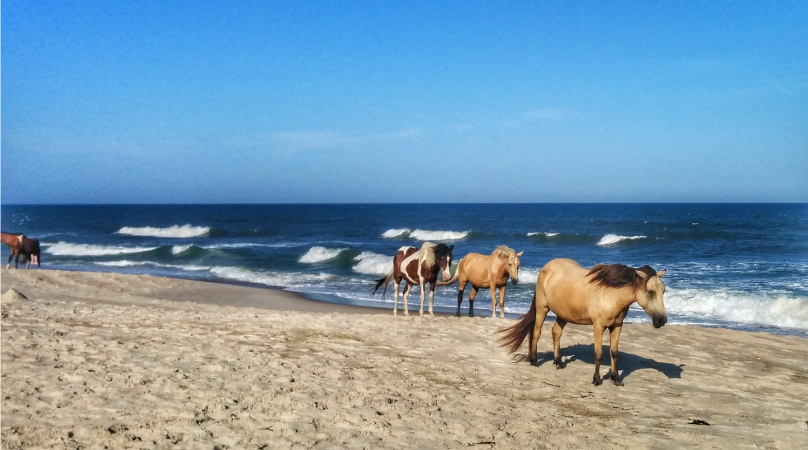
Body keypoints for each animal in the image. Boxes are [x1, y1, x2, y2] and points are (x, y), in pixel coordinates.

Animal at [498, 258, 668, 384]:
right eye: (651, 291)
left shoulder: (617, 326)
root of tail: (546, 268)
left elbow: (614, 353)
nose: (661, 320)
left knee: (556, 332)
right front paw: (597, 379)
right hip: (542, 309)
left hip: (563, 314)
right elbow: (599, 353)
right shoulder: (598, 326)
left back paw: (558, 362)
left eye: (664, 291)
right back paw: (534, 361)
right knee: (536, 333)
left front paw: (616, 378)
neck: (610, 293)